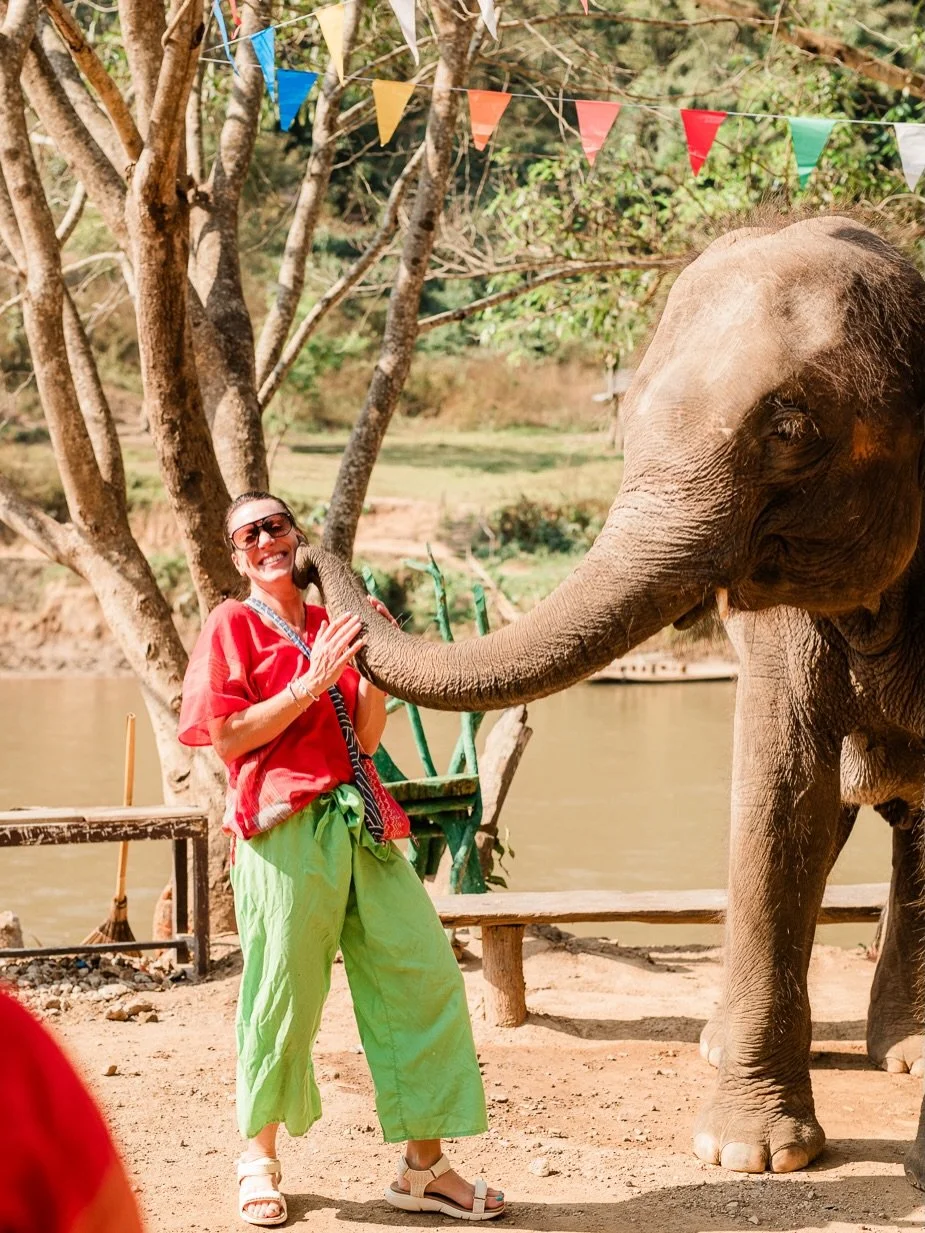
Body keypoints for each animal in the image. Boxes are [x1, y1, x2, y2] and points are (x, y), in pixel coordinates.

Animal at [300, 214, 925, 1185]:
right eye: (624, 422)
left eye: (790, 427)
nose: (298, 542)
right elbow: (779, 799)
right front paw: (748, 1153)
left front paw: (756, 1147)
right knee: (831, 825)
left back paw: (906, 1053)